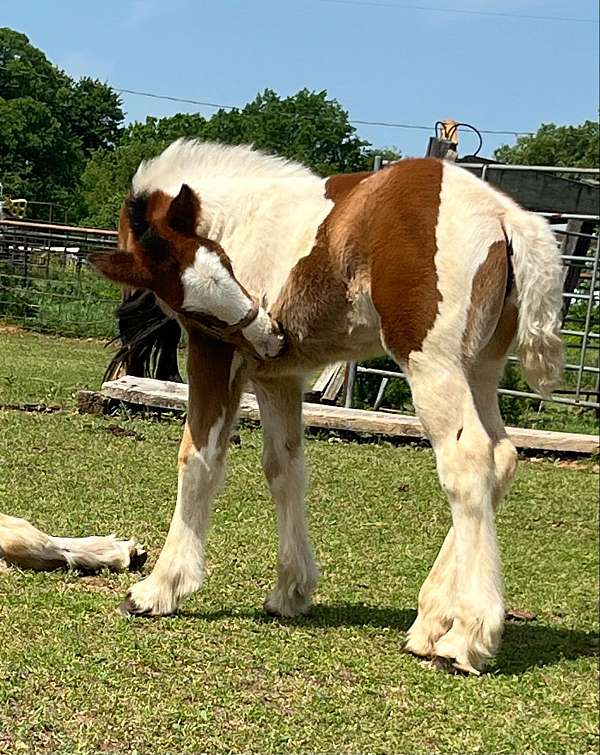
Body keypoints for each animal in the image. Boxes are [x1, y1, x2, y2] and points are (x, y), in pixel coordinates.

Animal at [91, 139, 564, 676]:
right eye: (209, 278)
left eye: (225, 269)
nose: (272, 333)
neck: (235, 213)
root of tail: (506, 216)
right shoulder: (277, 377)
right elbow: (285, 470)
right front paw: (290, 592)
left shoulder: (216, 353)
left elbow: (199, 460)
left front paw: (160, 588)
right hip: (479, 368)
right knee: (501, 458)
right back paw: (430, 622)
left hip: (432, 363)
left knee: (467, 463)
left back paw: (466, 636)